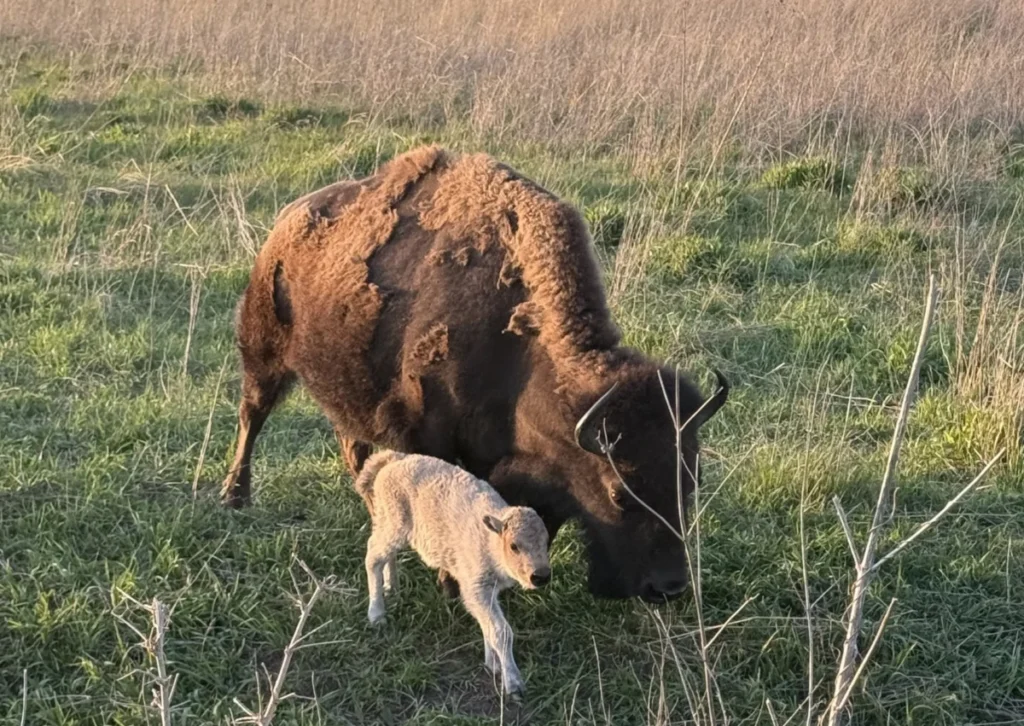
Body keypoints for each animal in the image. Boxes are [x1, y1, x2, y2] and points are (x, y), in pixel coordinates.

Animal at [221, 146, 728, 601]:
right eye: (620, 494)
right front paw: (452, 582)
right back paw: (235, 496)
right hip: (263, 356)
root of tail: (285, 223)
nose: (667, 587)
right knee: (253, 416)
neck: (518, 354)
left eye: (692, 480)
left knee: (352, 447)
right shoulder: (433, 438)